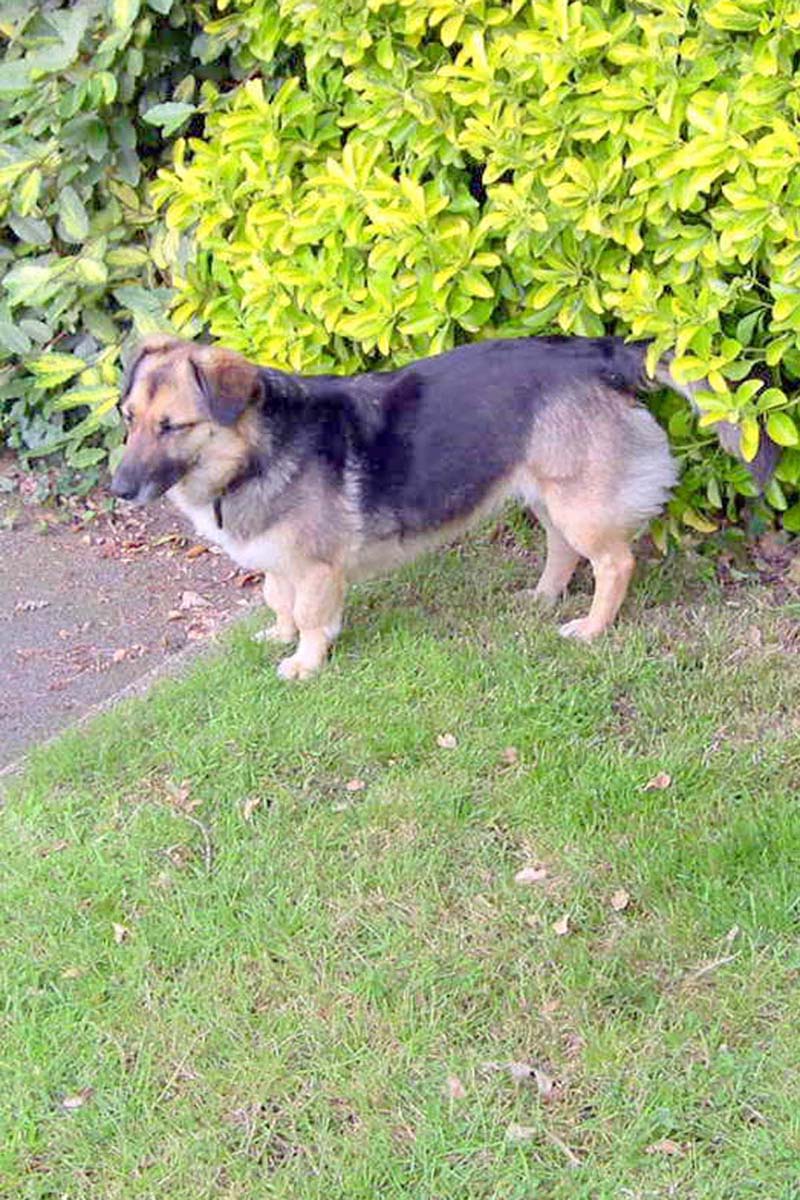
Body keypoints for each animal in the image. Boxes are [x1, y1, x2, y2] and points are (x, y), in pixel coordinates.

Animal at [110, 334, 775, 680]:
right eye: (128, 418)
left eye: (173, 426)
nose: (118, 489)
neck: (251, 450)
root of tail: (595, 352)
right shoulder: (280, 561)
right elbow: (279, 600)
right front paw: (279, 634)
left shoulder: (317, 569)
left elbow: (311, 615)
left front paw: (306, 660)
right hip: (546, 493)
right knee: (562, 549)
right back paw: (543, 596)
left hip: (579, 501)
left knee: (615, 564)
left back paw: (592, 627)